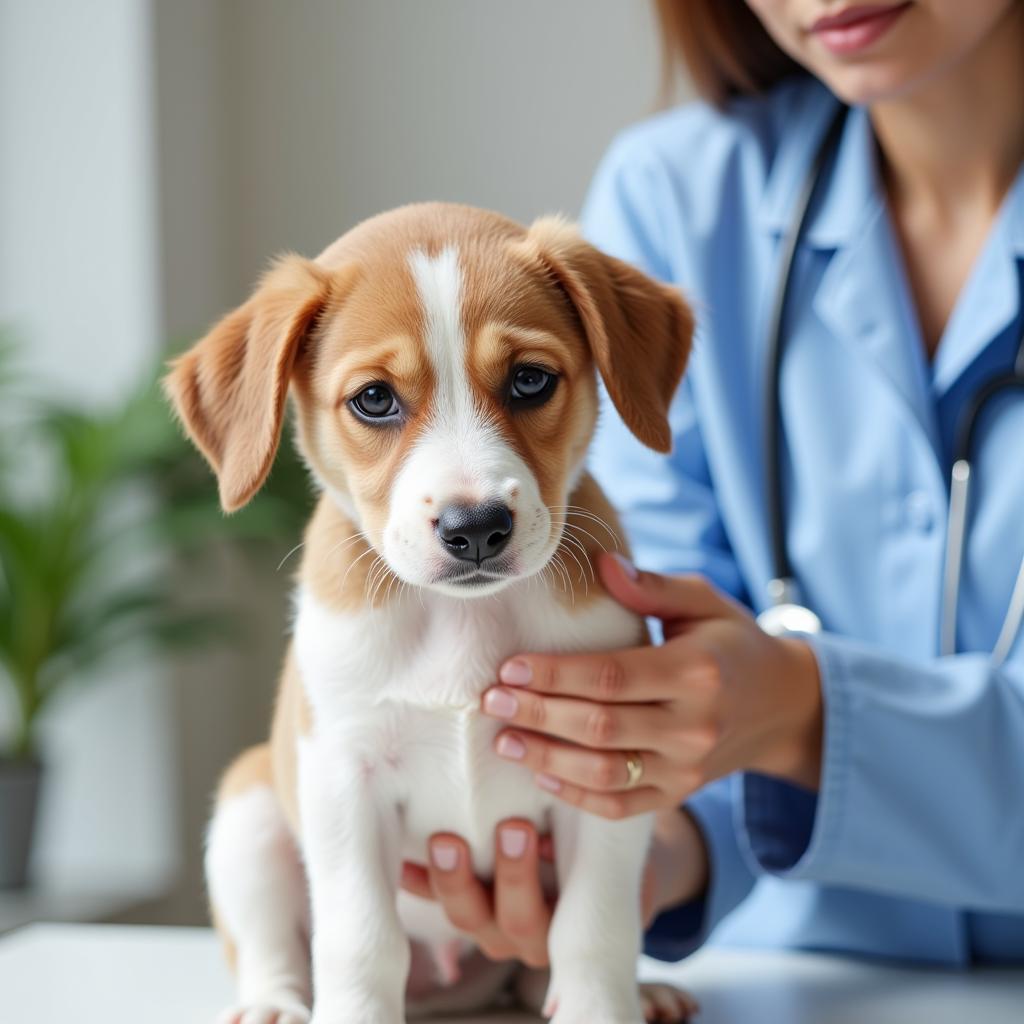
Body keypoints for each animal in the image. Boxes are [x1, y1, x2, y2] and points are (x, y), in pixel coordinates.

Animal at [165, 201, 696, 1024]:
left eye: (530, 380)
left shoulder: (601, 778)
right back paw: (274, 1006)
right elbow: (361, 942)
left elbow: (593, 930)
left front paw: (602, 1008)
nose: (475, 526)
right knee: (270, 946)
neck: (460, 619)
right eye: (375, 399)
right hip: (248, 810)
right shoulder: (342, 775)